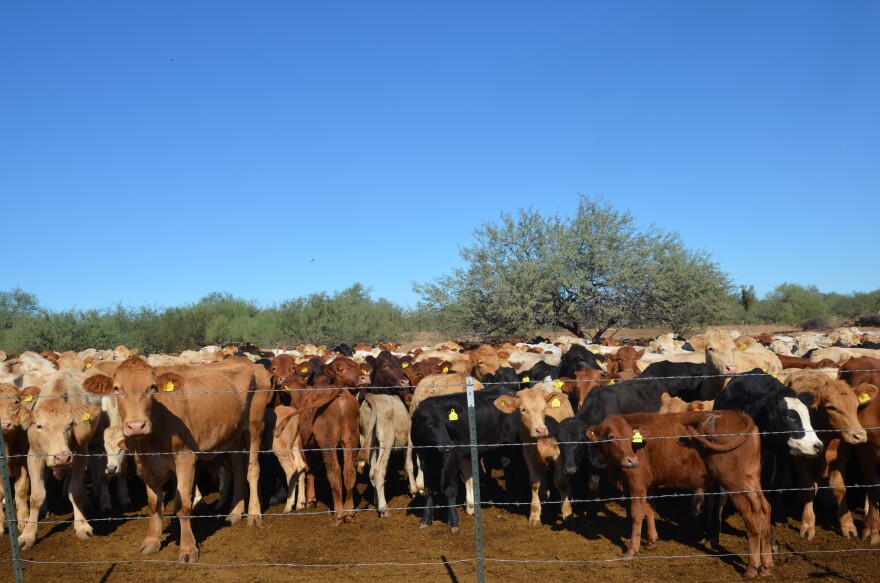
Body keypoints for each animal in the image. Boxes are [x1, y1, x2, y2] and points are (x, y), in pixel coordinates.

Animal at [587, 411, 773, 578]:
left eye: (629, 436)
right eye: (610, 437)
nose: (631, 461)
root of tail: (740, 415)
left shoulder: (636, 483)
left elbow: (636, 514)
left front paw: (632, 550)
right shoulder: (650, 483)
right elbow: (649, 508)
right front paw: (651, 541)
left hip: (734, 483)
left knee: (751, 514)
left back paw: (752, 567)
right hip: (752, 479)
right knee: (764, 509)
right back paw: (765, 565)